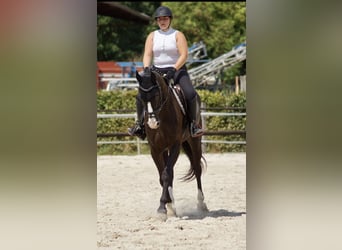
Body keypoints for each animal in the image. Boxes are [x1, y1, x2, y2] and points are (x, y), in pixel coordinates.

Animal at [136, 70, 206, 215]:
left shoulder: (175, 146)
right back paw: (172, 205)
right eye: (140, 98)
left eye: (156, 95)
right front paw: (168, 205)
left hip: (195, 141)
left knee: (197, 169)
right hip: (164, 149)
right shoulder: (155, 149)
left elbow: (166, 175)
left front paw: (162, 207)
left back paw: (201, 204)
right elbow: (162, 176)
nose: (152, 123)